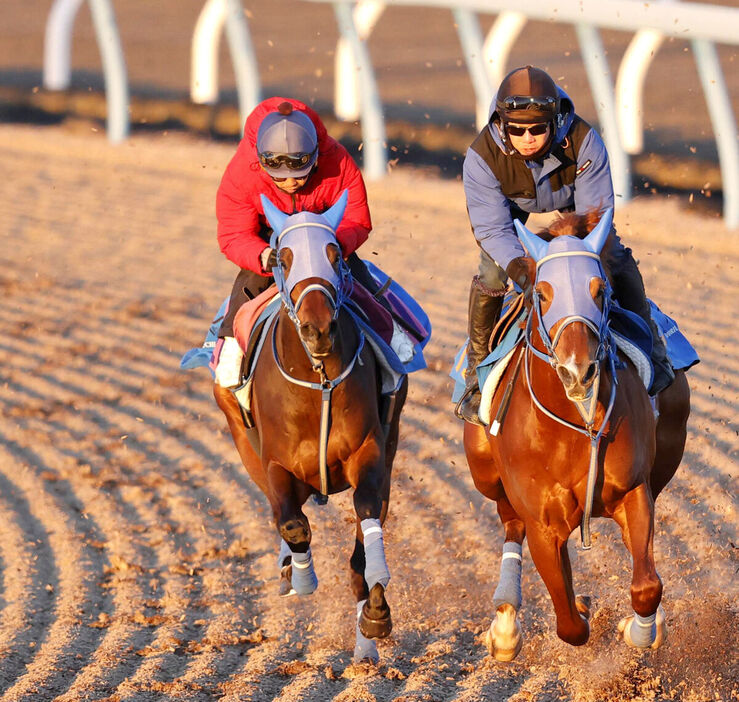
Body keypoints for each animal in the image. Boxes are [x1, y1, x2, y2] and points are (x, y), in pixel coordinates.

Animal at [214, 192, 410, 664]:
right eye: (282, 258)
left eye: (334, 253)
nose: (318, 328)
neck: (317, 381)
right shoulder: (274, 463)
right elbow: (292, 525)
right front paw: (301, 576)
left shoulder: (370, 451)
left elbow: (367, 519)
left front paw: (376, 613)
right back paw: (290, 568)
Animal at [466, 212, 692, 664]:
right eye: (542, 293)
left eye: (600, 289)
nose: (577, 370)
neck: (577, 425)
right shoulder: (543, 523)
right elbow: (569, 624)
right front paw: (581, 608)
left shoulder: (633, 490)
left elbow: (646, 586)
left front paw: (639, 631)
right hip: (485, 473)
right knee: (509, 523)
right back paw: (505, 627)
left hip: (668, 452)